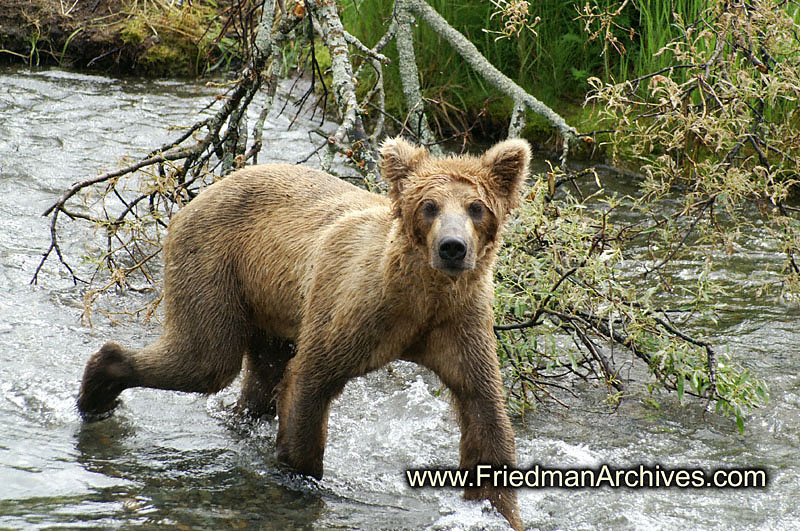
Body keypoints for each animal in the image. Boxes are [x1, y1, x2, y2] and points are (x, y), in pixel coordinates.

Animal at [78, 138, 532, 531]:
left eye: (476, 207)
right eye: (429, 206)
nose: (452, 247)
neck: (418, 299)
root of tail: (207, 189)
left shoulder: (457, 323)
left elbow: (483, 409)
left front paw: (498, 509)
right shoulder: (355, 308)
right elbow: (310, 380)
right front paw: (301, 477)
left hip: (269, 305)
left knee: (259, 377)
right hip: (215, 264)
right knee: (205, 360)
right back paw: (97, 390)